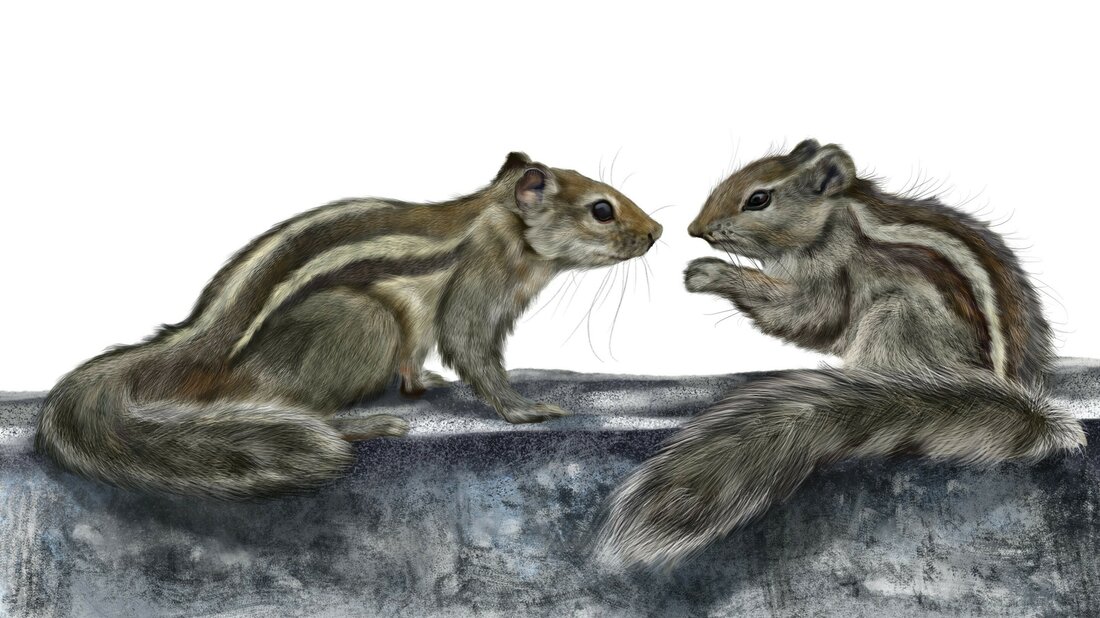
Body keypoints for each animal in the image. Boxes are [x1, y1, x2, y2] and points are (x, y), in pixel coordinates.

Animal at [35, 151, 663, 499]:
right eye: (601, 209)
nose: (656, 231)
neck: (500, 217)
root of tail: (195, 346)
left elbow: (422, 359)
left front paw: (422, 383)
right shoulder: (478, 283)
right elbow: (472, 349)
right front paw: (523, 409)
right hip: (364, 321)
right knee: (293, 404)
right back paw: (363, 425)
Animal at [596, 140, 1085, 570]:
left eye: (758, 199)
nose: (696, 230)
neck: (837, 216)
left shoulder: (831, 271)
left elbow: (809, 316)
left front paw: (709, 273)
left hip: (896, 317)